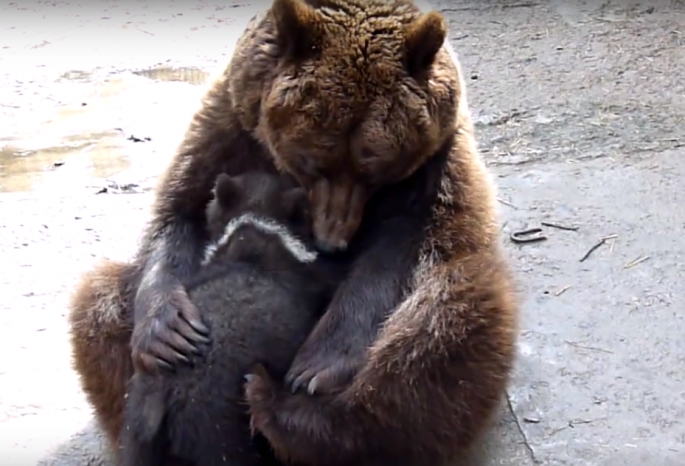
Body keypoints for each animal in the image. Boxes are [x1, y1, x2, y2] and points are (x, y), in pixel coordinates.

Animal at [69, 0, 520, 462]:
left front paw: (318, 366)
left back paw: (299, 421)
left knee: (442, 328)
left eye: (373, 166)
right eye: (312, 160)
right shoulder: (229, 127)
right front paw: (168, 331)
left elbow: (398, 251)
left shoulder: (434, 171)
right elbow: (179, 210)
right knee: (99, 304)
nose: (332, 241)